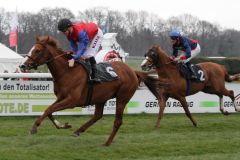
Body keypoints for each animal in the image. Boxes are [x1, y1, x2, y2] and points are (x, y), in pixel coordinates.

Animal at [19, 36, 165, 146]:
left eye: (37, 50)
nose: (22, 65)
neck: (67, 71)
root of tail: (133, 71)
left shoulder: (71, 101)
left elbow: (49, 110)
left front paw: (34, 127)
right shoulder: (61, 98)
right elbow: (48, 110)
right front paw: (63, 125)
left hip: (122, 98)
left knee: (117, 121)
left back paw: (107, 143)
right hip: (101, 97)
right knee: (97, 115)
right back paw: (79, 131)